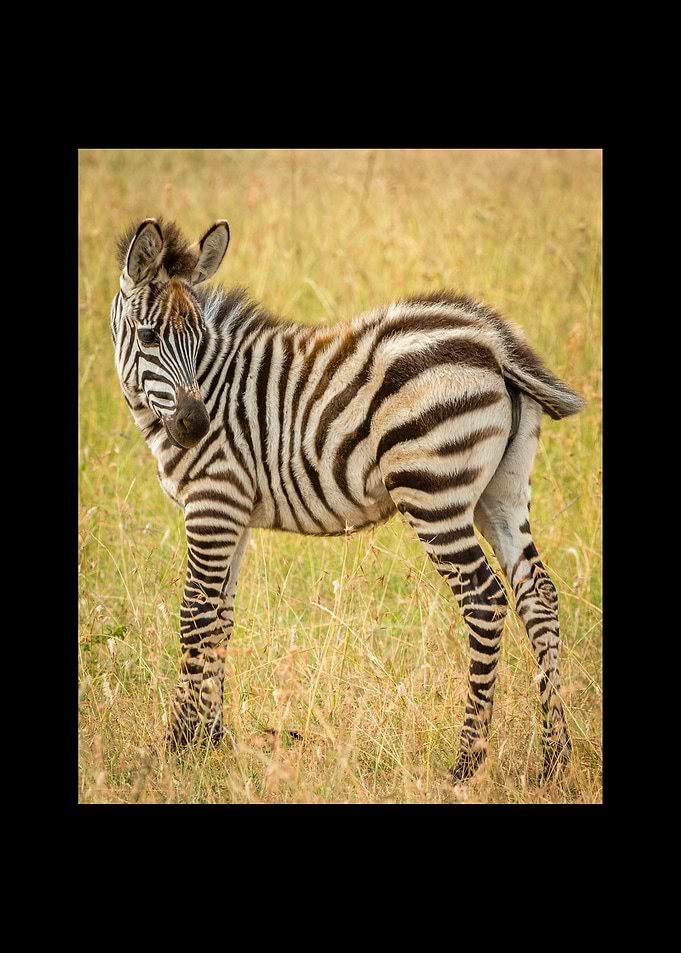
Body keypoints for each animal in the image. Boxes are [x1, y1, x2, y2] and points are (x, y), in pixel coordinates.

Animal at [110, 216, 586, 784]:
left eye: (199, 340)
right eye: (149, 336)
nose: (196, 426)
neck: (214, 384)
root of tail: (492, 340)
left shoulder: (213, 503)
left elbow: (195, 618)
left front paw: (178, 746)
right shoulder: (233, 516)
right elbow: (221, 619)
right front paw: (211, 741)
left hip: (434, 491)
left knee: (485, 600)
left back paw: (466, 763)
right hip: (502, 492)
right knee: (538, 595)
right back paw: (554, 759)